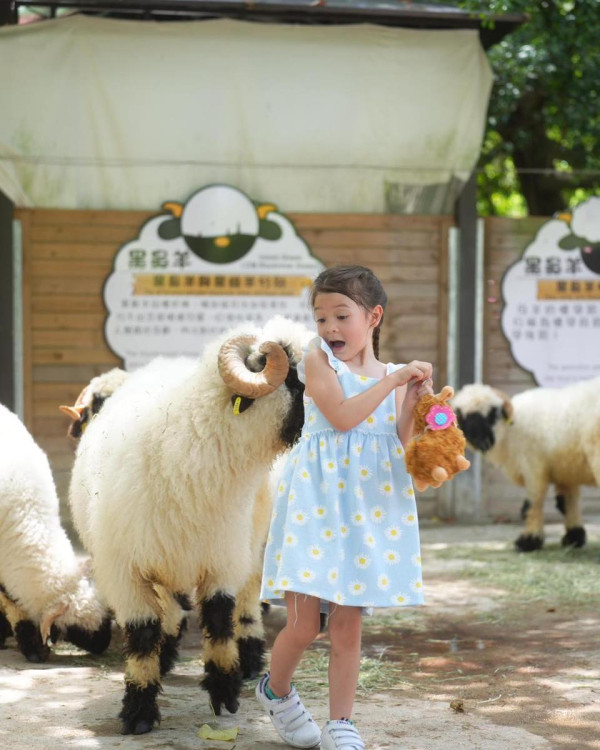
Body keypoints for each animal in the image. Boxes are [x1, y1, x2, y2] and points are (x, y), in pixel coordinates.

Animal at [69, 316, 310, 736]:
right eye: (297, 378)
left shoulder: (222, 560)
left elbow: (219, 621)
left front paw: (224, 691)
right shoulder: (127, 571)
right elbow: (143, 634)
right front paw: (139, 710)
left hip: (254, 542)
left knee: (248, 599)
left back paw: (249, 657)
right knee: (168, 612)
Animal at [452, 382, 600, 552]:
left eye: (492, 414)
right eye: (461, 417)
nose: (480, 440)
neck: (510, 432)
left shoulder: (533, 467)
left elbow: (531, 504)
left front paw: (528, 541)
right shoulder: (565, 471)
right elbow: (567, 503)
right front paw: (573, 538)